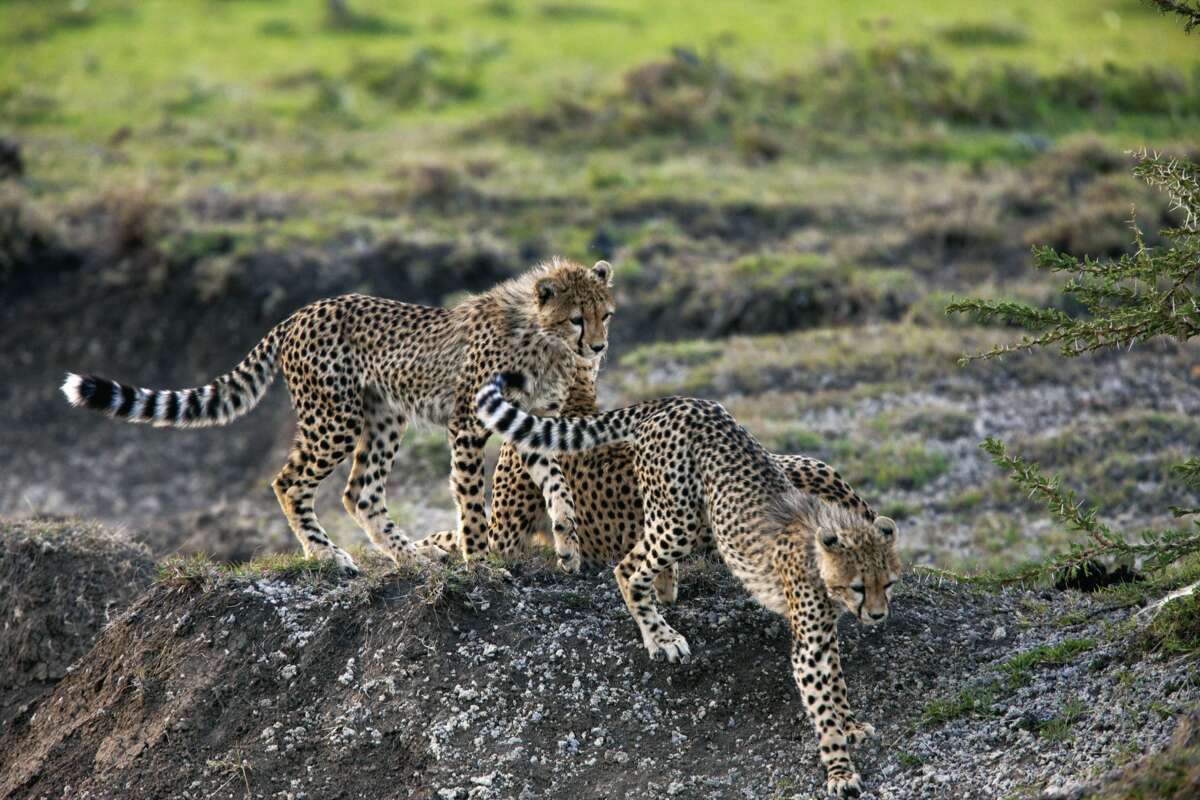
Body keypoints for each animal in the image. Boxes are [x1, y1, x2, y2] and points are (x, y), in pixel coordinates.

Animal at [60, 258, 616, 577]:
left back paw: (412, 557)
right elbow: (470, 503)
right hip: (335, 419)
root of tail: (299, 314)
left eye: (604, 314)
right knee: (289, 482)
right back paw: (327, 555)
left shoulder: (533, 423)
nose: (599, 346)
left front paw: (568, 546)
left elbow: (558, 487)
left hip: (384, 417)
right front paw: (481, 564)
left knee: (360, 493)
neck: (540, 335)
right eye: (576, 318)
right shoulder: (468, 424)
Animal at [474, 373, 900, 799]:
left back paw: (665, 594)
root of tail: (677, 401)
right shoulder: (809, 645)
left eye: (889, 583)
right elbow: (822, 704)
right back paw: (661, 636)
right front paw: (840, 771)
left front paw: (851, 726)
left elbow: (837, 684)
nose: (878, 616)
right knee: (628, 568)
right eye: (858, 586)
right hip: (679, 519)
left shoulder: (825, 633)